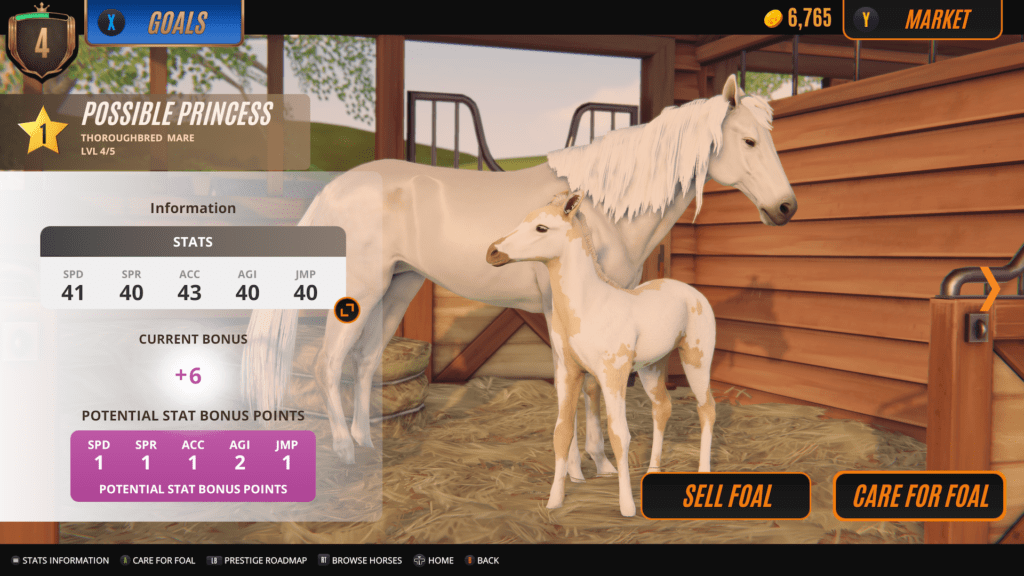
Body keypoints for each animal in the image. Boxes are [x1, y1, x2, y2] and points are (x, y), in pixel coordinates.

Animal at [242, 74, 794, 470]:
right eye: (748, 141)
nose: (786, 207)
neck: (597, 212)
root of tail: (335, 187)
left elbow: (591, 386)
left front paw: (599, 462)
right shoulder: (559, 311)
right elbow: (571, 382)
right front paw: (577, 466)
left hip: (398, 286)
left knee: (363, 362)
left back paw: (366, 442)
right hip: (360, 289)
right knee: (328, 363)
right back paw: (343, 452)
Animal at [486, 192, 715, 516]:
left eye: (542, 228)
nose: (493, 252)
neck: (588, 306)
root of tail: (692, 292)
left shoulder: (613, 374)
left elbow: (619, 434)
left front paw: (627, 506)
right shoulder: (569, 373)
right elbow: (562, 432)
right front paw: (554, 501)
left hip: (697, 359)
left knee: (706, 408)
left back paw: (703, 472)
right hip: (652, 367)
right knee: (662, 408)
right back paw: (653, 469)